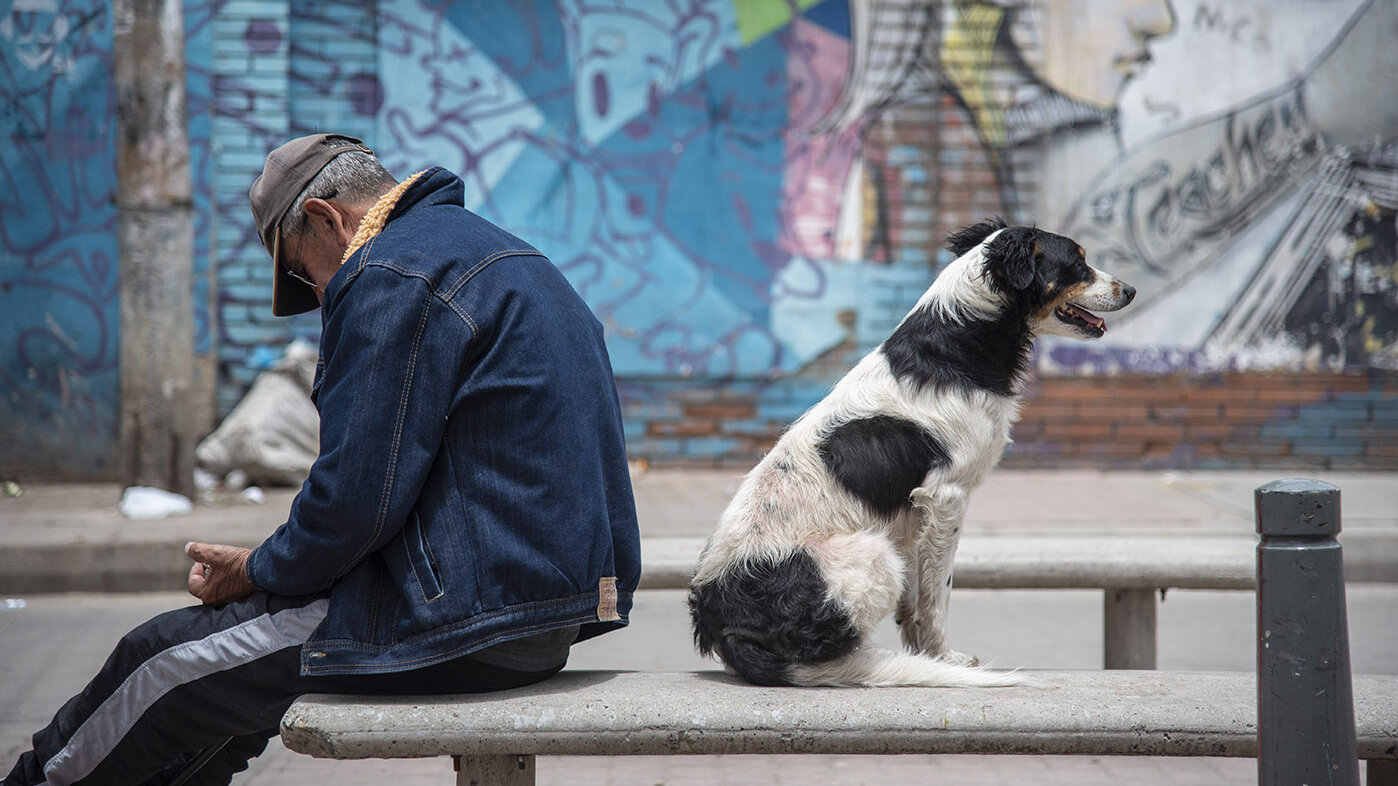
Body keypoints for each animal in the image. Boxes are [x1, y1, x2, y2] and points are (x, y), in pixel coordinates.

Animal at [687, 216, 1135, 682]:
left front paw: (923, 652)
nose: (1131, 291)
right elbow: (937, 594)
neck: (961, 339)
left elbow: (915, 600)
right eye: (1078, 263)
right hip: (874, 554)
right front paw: (942, 658)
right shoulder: (947, 497)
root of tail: (719, 622)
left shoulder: (913, 513)